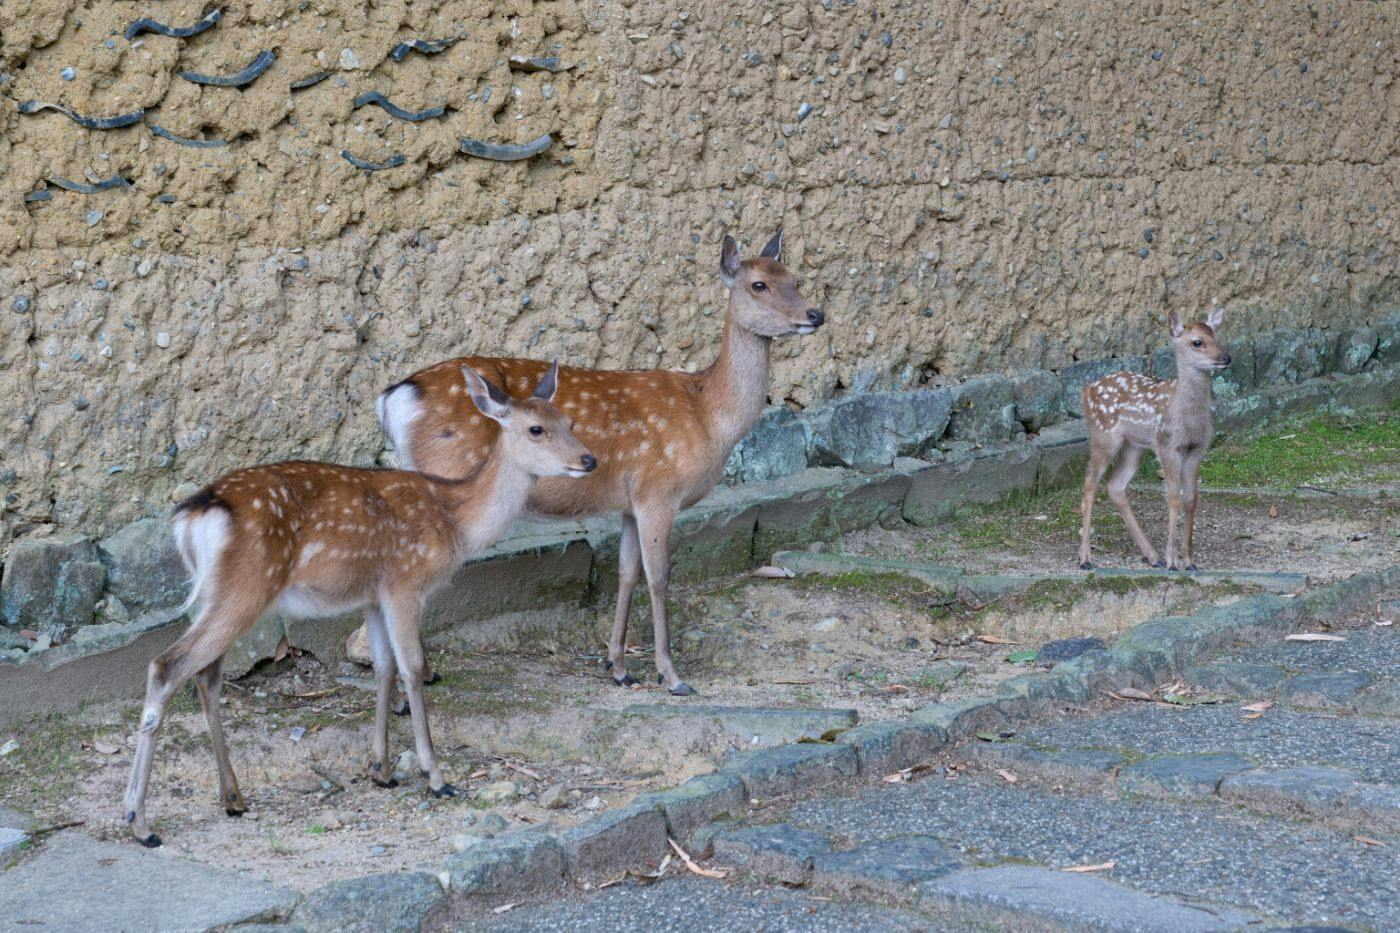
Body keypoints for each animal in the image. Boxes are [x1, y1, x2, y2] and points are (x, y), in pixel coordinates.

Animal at [122, 363, 594, 847]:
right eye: (536, 428)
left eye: (569, 422)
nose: (588, 460)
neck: (455, 522)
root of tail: (191, 517)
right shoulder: (405, 581)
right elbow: (411, 668)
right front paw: (436, 776)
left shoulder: (371, 594)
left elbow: (383, 668)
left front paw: (381, 769)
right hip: (246, 588)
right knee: (167, 666)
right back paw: (141, 822)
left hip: (215, 595)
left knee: (207, 675)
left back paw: (232, 797)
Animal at [375, 231, 825, 696]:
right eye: (759, 285)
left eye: (795, 278)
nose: (816, 314)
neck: (708, 416)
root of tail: (394, 399)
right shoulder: (659, 491)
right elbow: (659, 577)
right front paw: (671, 675)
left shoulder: (629, 502)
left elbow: (626, 573)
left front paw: (619, 666)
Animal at [1077, 309, 1231, 572]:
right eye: (1197, 342)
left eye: (1216, 336)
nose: (1226, 357)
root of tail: (1086, 390)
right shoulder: (1167, 444)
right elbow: (1173, 497)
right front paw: (1173, 561)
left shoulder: (1196, 449)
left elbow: (1191, 499)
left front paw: (1189, 561)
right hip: (1103, 435)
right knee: (1090, 483)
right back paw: (1085, 557)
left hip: (1134, 446)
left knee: (1115, 486)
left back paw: (1152, 556)